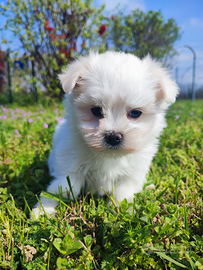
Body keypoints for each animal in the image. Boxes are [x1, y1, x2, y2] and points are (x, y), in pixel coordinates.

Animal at [32, 51, 178, 218]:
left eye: (135, 113)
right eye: (96, 110)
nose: (113, 136)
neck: (108, 156)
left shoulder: (132, 174)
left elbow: (124, 193)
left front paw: (123, 213)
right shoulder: (70, 169)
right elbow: (61, 189)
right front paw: (42, 211)